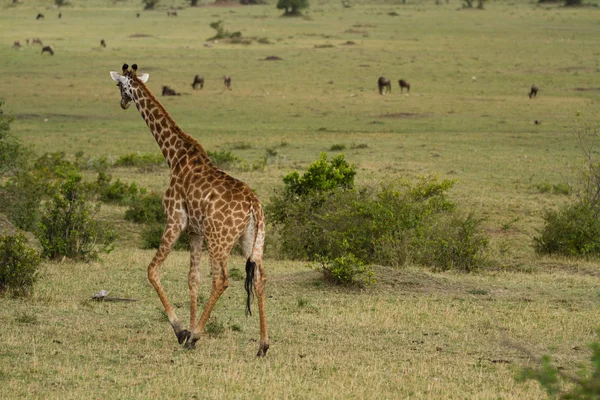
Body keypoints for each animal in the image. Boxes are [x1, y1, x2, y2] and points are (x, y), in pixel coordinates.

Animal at [110, 62, 270, 356]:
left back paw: (196, 336)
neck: (174, 155)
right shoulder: (194, 231)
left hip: (219, 240)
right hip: (252, 239)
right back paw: (263, 345)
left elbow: (152, 270)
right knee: (259, 277)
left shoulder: (175, 220)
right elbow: (192, 279)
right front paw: (188, 329)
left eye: (119, 85)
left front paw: (182, 330)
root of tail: (255, 205)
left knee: (221, 279)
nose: (123, 103)